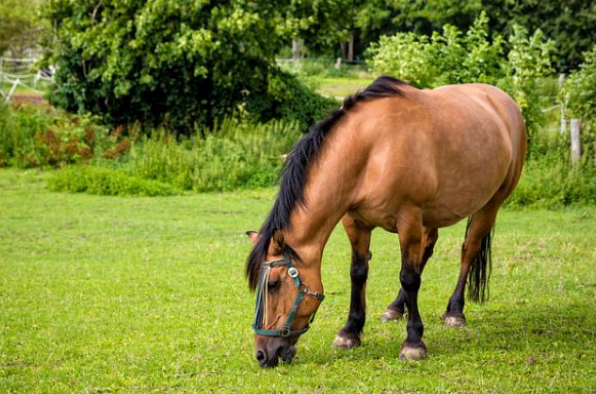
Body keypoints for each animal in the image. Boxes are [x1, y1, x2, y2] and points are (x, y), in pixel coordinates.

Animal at [244, 75, 524, 368]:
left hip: (489, 205)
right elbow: (358, 273)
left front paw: (413, 343)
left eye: (273, 285)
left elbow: (409, 277)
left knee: (468, 250)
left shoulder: (408, 218)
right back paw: (395, 308)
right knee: (427, 250)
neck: (372, 149)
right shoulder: (355, 221)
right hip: (432, 214)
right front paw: (350, 332)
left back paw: (455, 312)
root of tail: (506, 103)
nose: (262, 354)